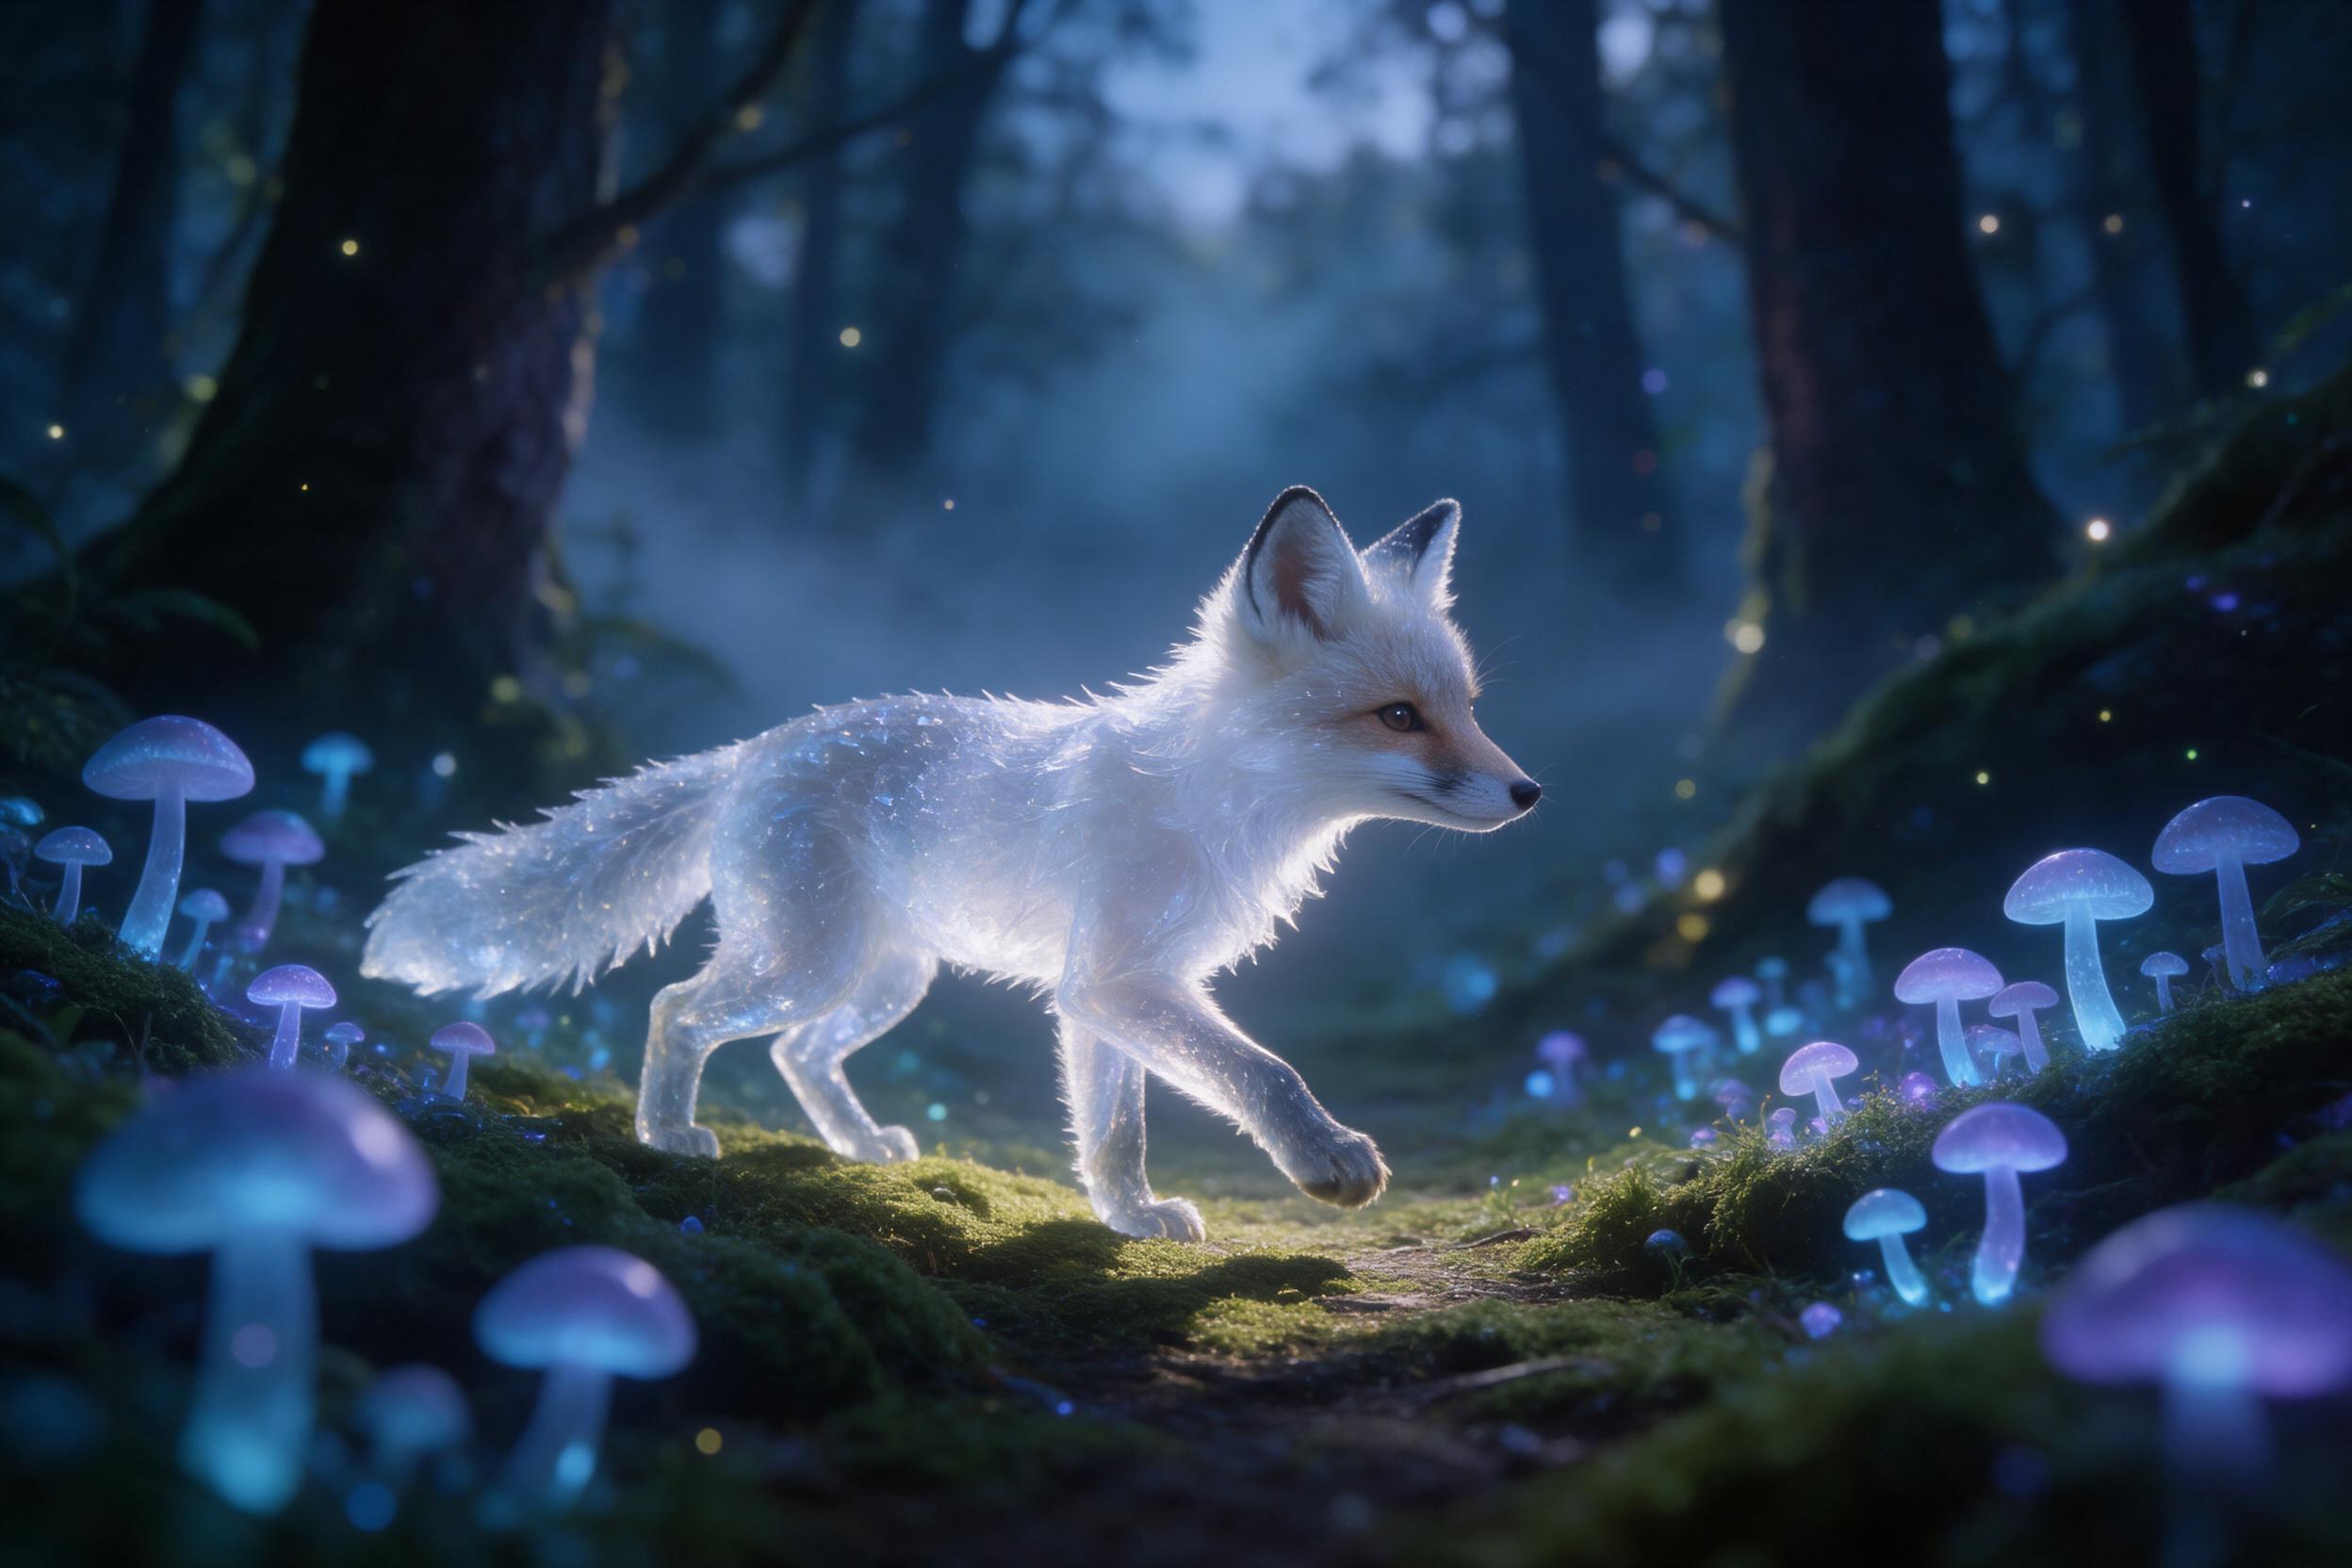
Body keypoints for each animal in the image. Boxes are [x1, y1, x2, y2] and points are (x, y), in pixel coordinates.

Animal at [361, 487, 1539, 1240]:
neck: (1208, 799)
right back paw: (666, 1132)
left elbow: (1113, 1131)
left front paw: (1129, 1219)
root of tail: (753, 751)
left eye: (1469, 706)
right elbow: (1263, 1070)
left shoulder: (1104, 991)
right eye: (1400, 716)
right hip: (810, 960)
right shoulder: (1117, 979)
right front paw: (1324, 1158)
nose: (1531, 793)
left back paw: (856, 1145)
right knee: (675, 1007)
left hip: (887, 975)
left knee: (794, 1053)